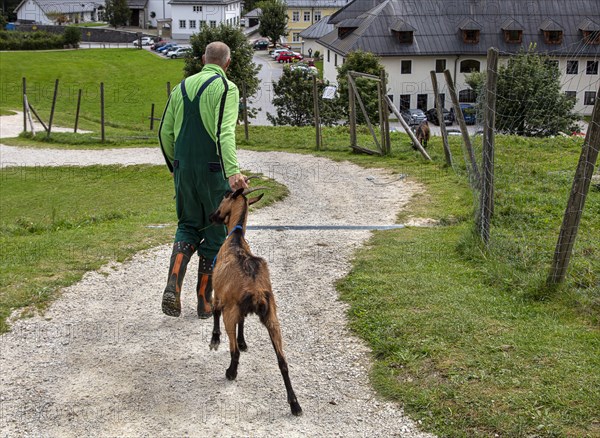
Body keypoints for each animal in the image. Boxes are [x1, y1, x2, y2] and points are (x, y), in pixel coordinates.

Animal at [207, 186, 302, 416]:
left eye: (224, 197)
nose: (212, 216)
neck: (235, 237)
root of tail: (258, 291)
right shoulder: (240, 309)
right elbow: (243, 322)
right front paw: (244, 342)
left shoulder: (220, 294)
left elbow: (215, 311)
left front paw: (215, 340)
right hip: (272, 316)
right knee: (282, 361)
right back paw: (295, 404)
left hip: (231, 313)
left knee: (233, 351)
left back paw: (230, 373)